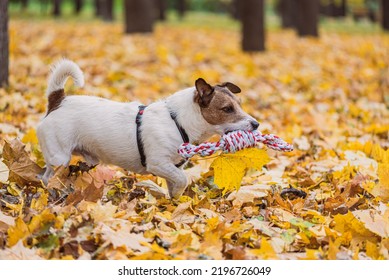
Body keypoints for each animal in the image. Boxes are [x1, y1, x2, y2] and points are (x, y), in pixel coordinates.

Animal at [38, 59, 260, 197]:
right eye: (227, 109)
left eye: (240, 104)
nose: (256, 124)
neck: (178, 122)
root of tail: (58, 101)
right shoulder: (158, 164)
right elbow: (182, 179)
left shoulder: (173, 167)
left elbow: (175, 184)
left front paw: (173, 202)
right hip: (59, 158)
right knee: (47, 177)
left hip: (85, 159)